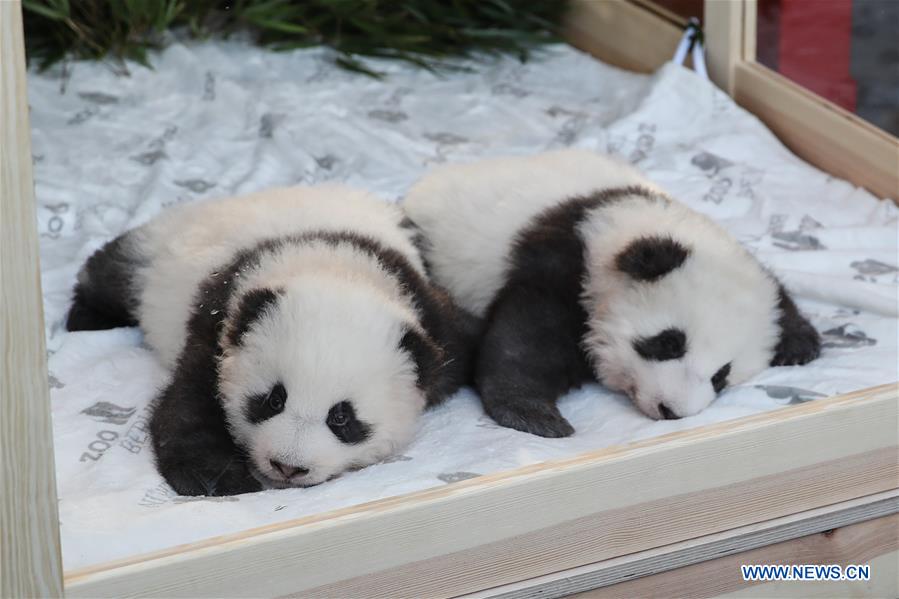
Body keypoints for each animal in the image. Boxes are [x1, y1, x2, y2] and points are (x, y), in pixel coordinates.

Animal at [66, 185, 479, 496]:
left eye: (341, 417)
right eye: (272, 400)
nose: (288, 466)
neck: (330, 265)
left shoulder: (425, 308)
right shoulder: (220, 325)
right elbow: (187, 408)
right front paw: (218, 480)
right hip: (155, 255)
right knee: (113, 272)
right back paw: (84, 317)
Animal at [403, 149, 821, 438]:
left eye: (721, 375)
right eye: (669, 343)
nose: (672, 410)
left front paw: (800, 343)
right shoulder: (565, 260)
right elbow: (527, 338)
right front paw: (534, 414)